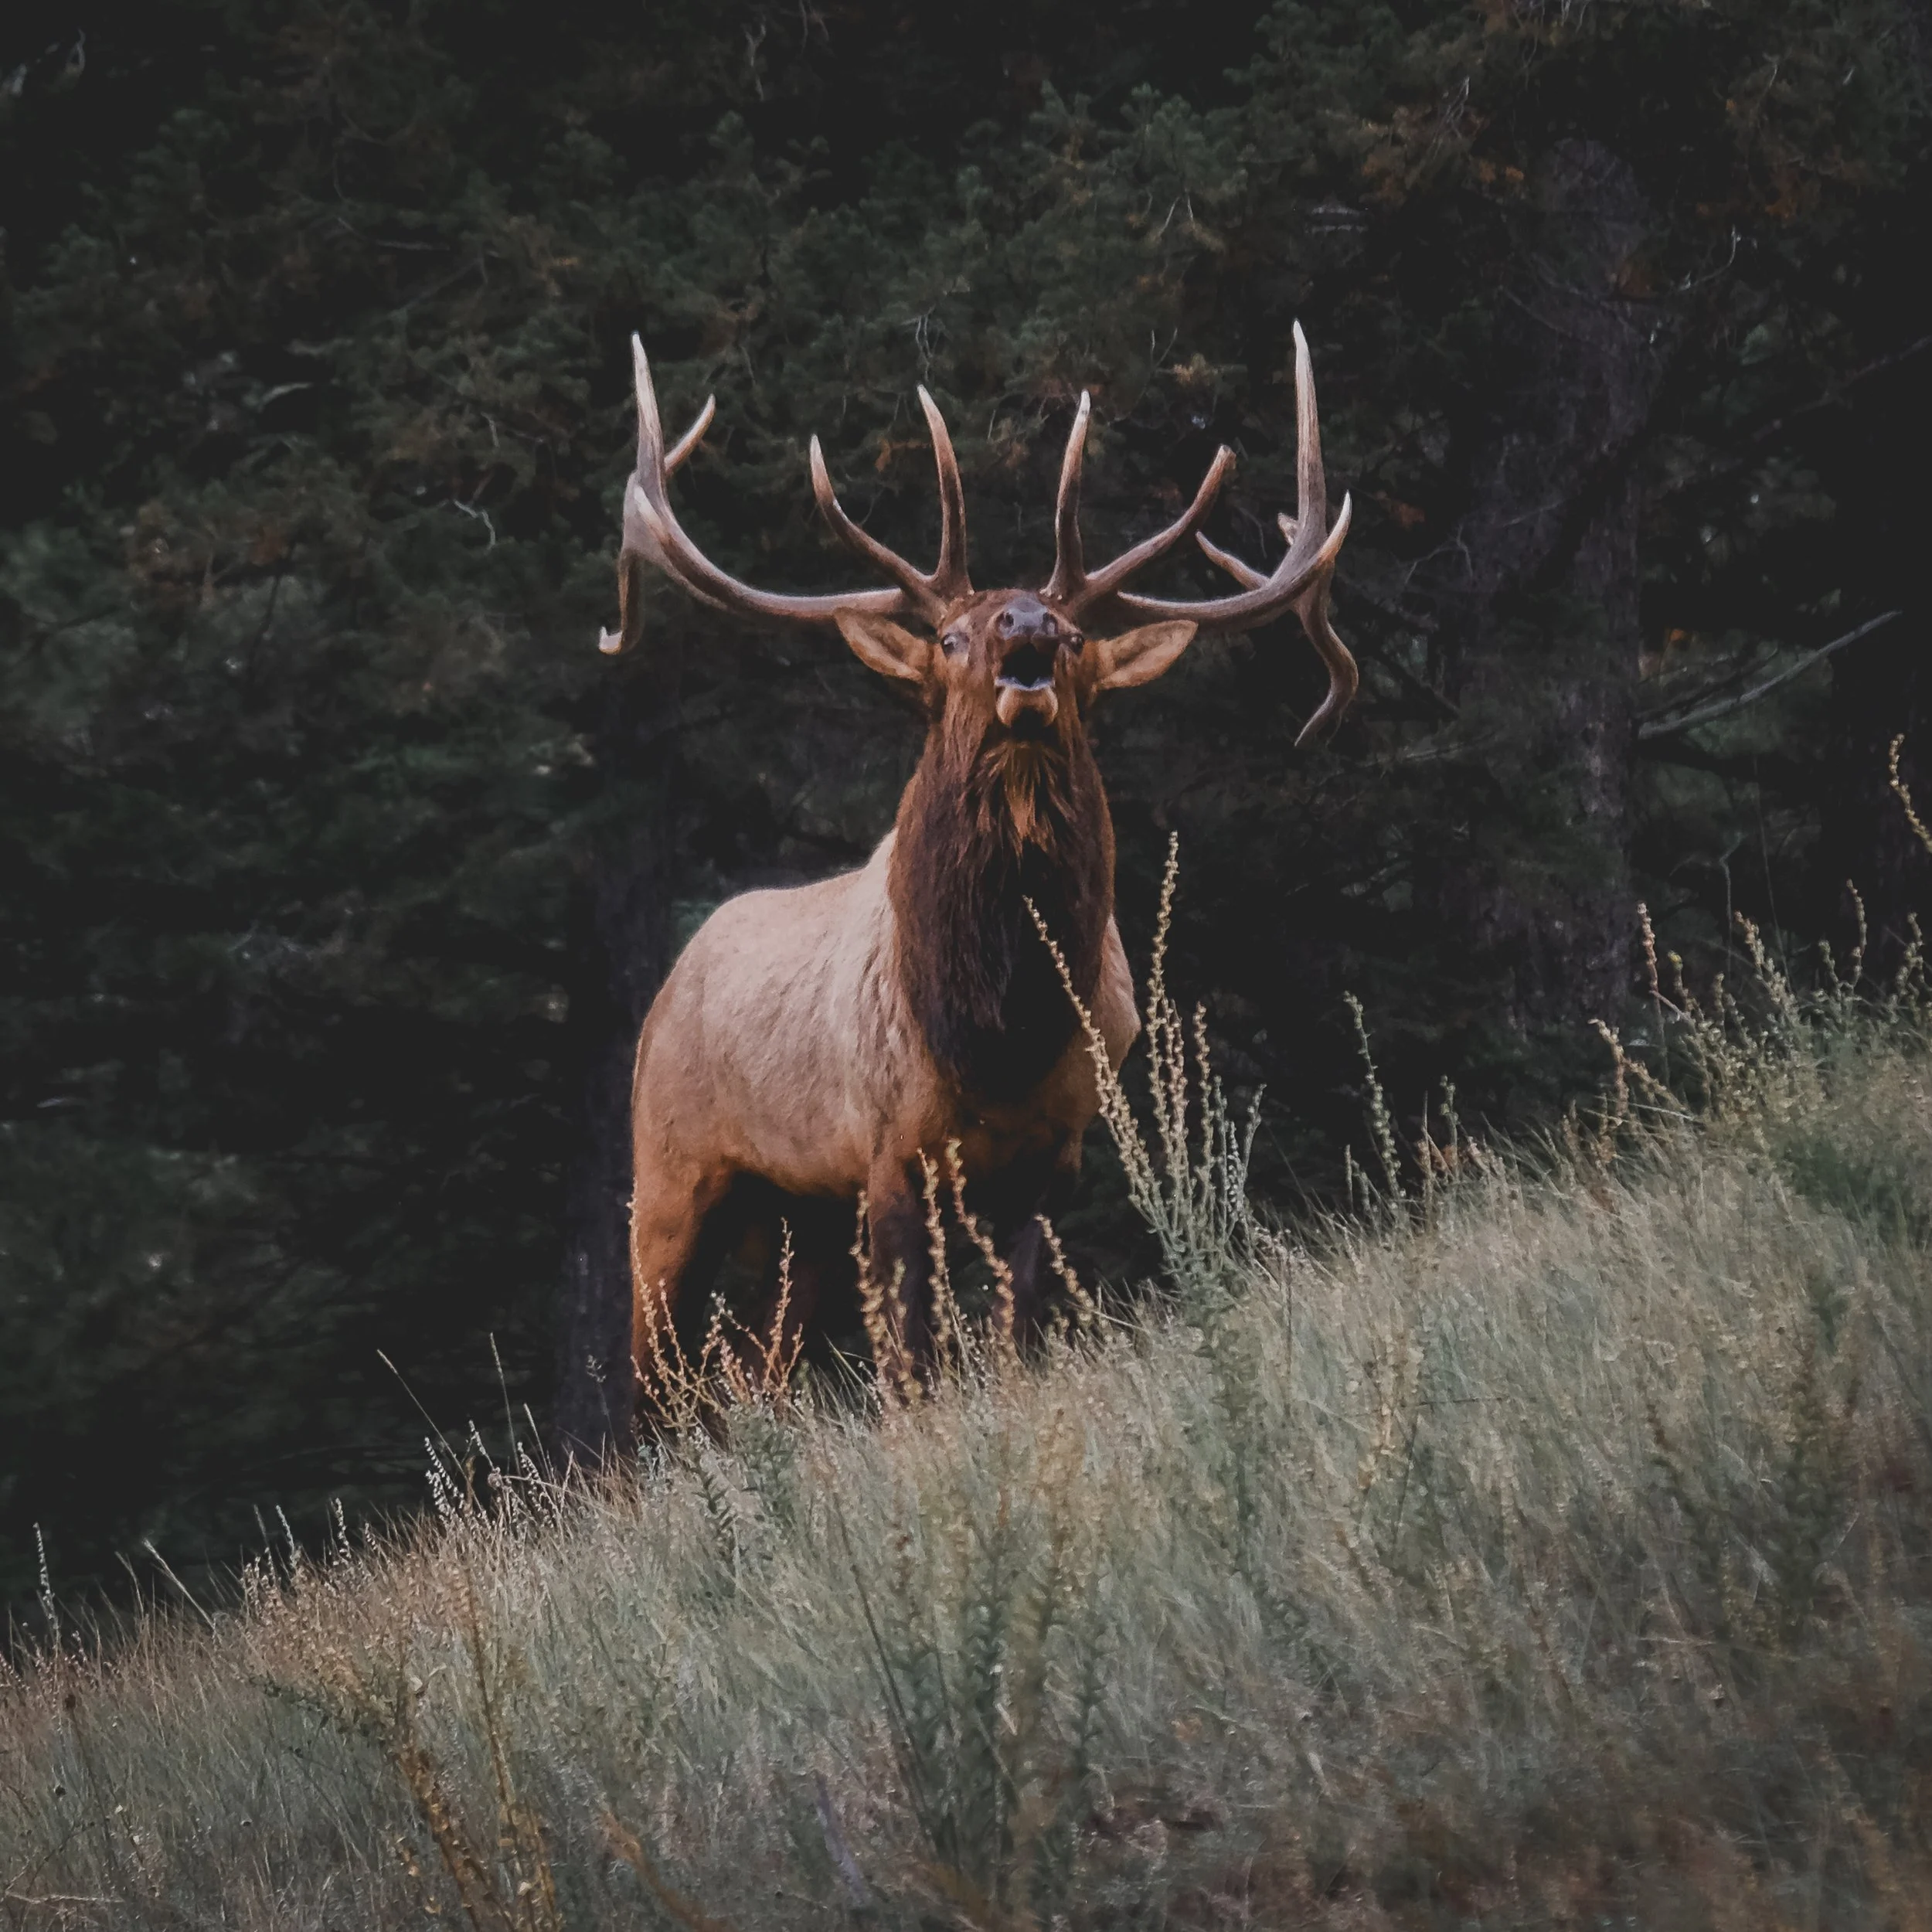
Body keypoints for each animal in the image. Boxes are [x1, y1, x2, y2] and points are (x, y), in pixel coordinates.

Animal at [598, 325, 1356, 1404]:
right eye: (952, 634)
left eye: (1074, 634)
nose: (1025, 627)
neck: (996, 1034)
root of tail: (670, 986)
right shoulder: (887, 1149)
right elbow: (911, 1358)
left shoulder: (1054, 1152)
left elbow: (1014, 1328)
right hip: (670, 1176)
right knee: (647, 1383)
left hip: (797, 1214)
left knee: (755, 1369)